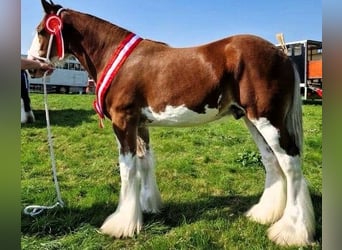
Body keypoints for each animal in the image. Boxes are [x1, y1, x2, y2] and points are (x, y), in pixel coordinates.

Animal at [27, 0, 316, 246]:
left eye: (41, 31)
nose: (32, 67)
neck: (118, 59)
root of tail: (281, 54)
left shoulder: (123, 122)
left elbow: (127, 169)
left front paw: (121, 224)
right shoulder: (140, 125)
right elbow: (145, 163)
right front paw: (147, 207)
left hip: (267, 119)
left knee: (290, 163)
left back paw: (291, 231)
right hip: (251, 120)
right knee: (271, 161)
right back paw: (264, 214)